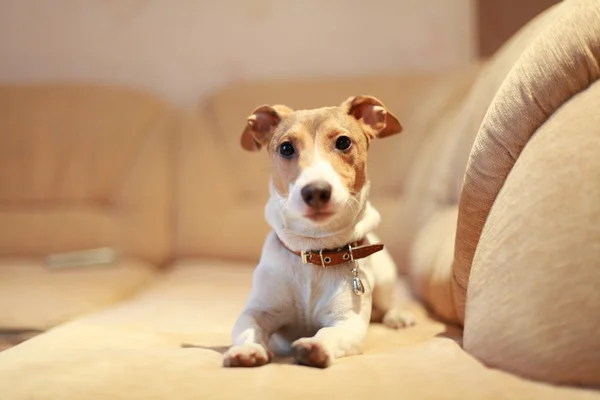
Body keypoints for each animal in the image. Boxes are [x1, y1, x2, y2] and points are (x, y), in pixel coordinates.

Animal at [223, 94, 414, 368]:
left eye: (343, 142)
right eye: (286, 148)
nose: (316, 191)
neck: (314, 249)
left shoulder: (349, 321)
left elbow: (329, 333)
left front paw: (315, 346)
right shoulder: (258, 311)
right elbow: (249, 328)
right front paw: (247, 349)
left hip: (386, 278)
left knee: (389, 301)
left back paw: (397, 315)